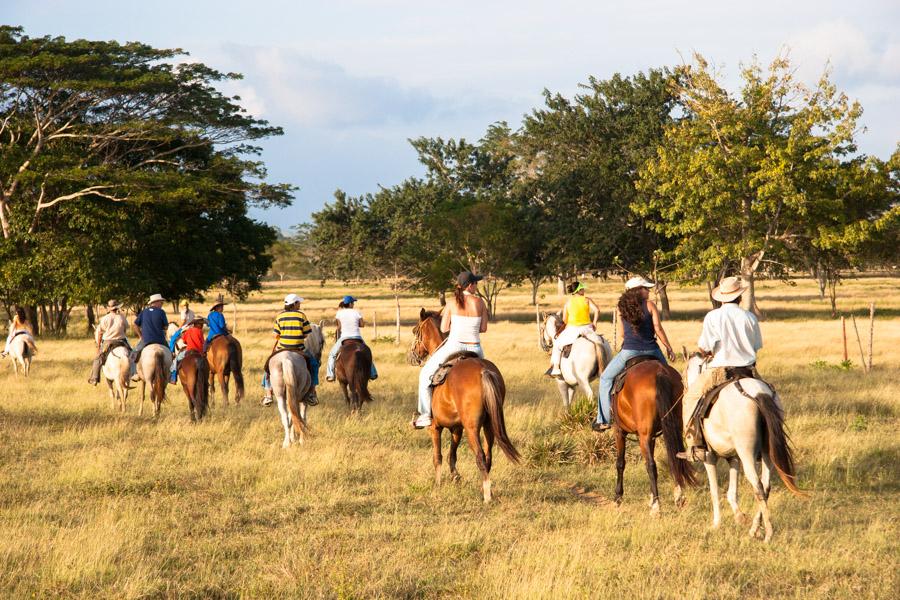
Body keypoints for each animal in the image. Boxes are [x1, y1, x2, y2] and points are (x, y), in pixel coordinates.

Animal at [410, 310, 520, 502]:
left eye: (416, 330)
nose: (413, 356)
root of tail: (483, 370)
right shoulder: (457, 428)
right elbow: (452, 455)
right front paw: (455, 477)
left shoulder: (435, 427)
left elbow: (438, 457)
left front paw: (437, 484)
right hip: (489, 425)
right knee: (488, 456)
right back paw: (485, 489)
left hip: (472, 428)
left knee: (480, 456)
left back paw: (487, 496)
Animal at [612, 358, 696, 512]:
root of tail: (660, 372)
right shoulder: (650, 437)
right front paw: (651, 498)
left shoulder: (619, 431)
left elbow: (620, 463)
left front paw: (618, 498)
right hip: (673, 427)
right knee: (674, 458)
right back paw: (678, 496)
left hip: (643, 435)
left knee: (651, 466)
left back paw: (657, 507)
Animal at [684, 354, 804, 540]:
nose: (685, 387)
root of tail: (758, 392)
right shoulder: (733, 457)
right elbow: (732, 492)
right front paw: (740, 517)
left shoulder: (709, 458)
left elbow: (714, 491)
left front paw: (716, 524)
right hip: (767, 453)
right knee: (766, 485)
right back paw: (755, 528)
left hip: (746, 453)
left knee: (758, 484)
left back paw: (768, 533)